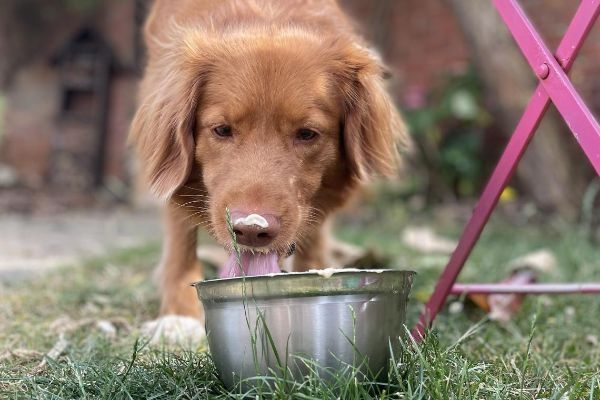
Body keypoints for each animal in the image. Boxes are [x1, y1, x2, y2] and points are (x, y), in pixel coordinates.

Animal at [131, 0, 410, 344]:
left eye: (307, 134)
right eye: (222, 129)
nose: (251, 230)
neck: (268, 17)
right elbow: (180, 244)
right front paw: (178, 317)